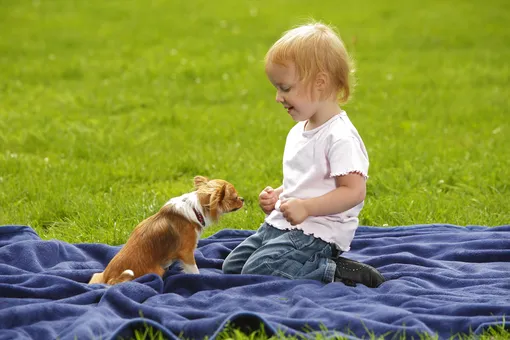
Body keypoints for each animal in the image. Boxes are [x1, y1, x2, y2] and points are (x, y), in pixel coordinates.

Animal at [88, 175, 244, 284]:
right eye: (235, 197)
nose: (243, 199)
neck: (196, 209)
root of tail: (108, 279)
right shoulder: (186, 252)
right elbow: (194, 270)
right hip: (155, 271)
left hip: (97, 276)